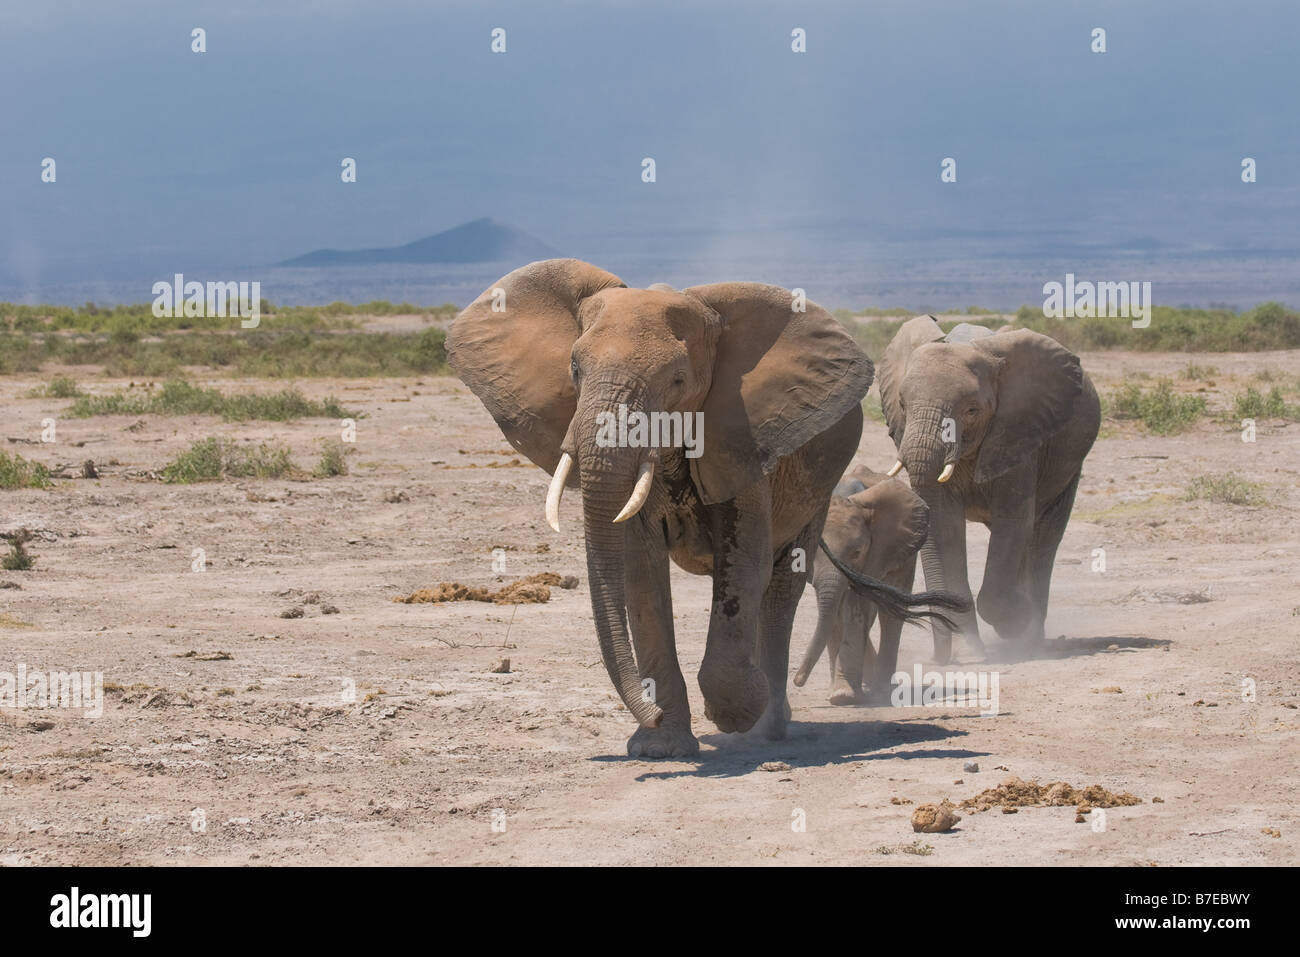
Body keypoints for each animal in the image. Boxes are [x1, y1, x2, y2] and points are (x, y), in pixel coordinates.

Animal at [792, 464, 929, 706]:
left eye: (857, 552)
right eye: (811, 552)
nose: (797, 681)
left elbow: (856, 610)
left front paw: (843, 697)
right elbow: (835, 613)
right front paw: (839, 694)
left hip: (905, 552)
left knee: (890, 614)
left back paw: (882, 690)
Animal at [877, 316, 1101, 662]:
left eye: (971, 410)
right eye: (902, 404)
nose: (941, 659)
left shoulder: (1019, 431)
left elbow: (1014, 520)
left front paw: (1016, 622)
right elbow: (945, 527)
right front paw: (971, 651)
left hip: (1067, 466)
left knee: (1042, 539)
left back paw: (1031, 639)